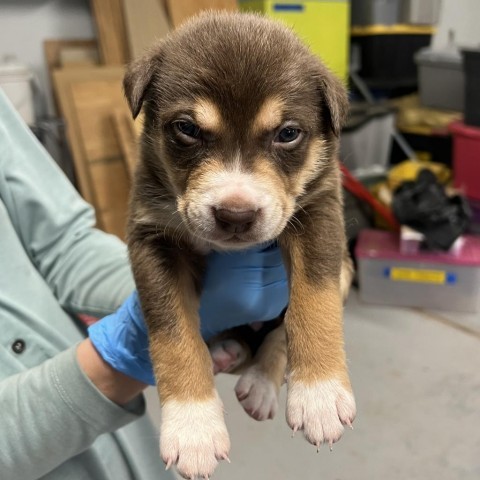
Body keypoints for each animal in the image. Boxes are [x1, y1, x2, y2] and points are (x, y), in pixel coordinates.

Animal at [124, 12, 356, 480]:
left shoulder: (319, 213)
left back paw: (263, 384)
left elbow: (313, 303)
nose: (235, 215)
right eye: (187, 129)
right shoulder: (152, 237)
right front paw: (192, 428)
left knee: (278, 334)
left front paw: (320, 393)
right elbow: (173, 331)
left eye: (288, 133)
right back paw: (225, 352)